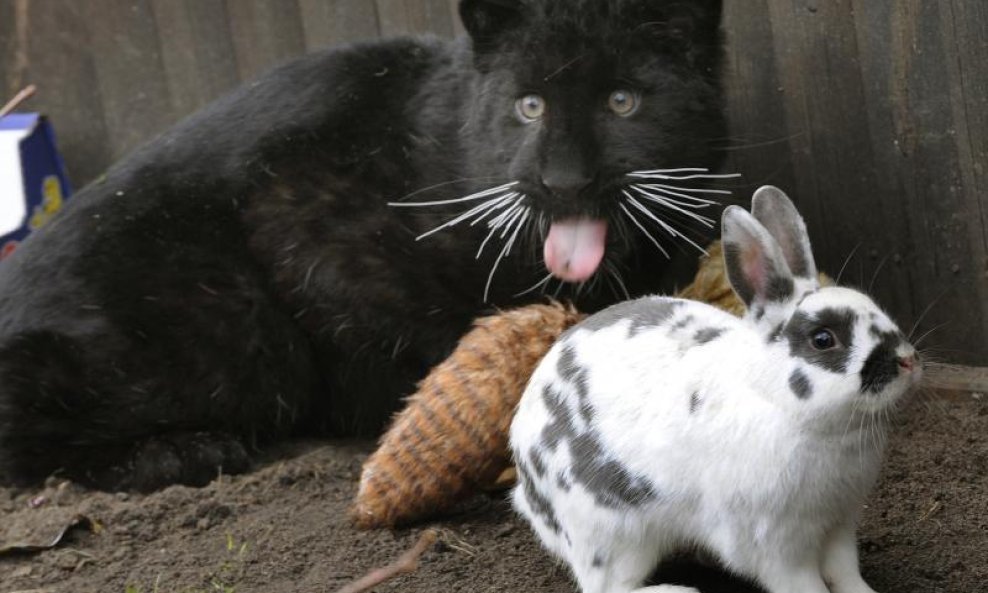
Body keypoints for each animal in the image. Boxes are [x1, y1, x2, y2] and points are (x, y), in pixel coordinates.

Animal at [512, 186, 924, 592]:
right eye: (823, 339)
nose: (907, 360)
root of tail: (528, 485)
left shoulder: (839, 523)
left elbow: (844, 571)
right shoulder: (778, 544)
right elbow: (804, 584)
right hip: (613, 535)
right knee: (607, 586)